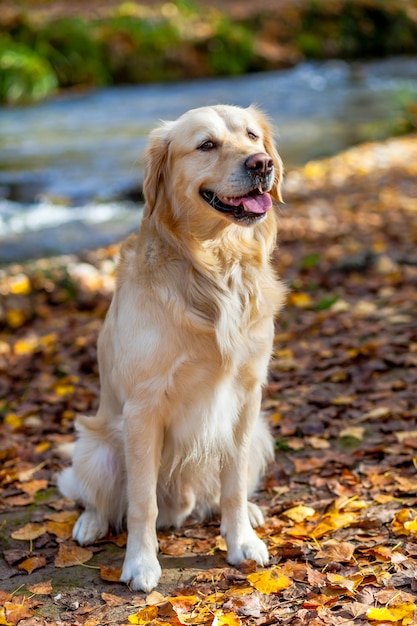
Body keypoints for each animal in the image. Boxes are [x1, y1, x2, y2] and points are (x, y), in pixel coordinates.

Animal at [59, 103, 286, 588]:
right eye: (206, 144)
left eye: (253, 137)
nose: (262, 164)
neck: (216, 264)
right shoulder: (144, 408)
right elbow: (141, 501)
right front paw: (141, 564)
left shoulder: (246, 398)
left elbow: (233, 486)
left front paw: (241, 541)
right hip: (95, 448)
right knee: (98, 498)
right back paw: (89, 524)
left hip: (260, 433)